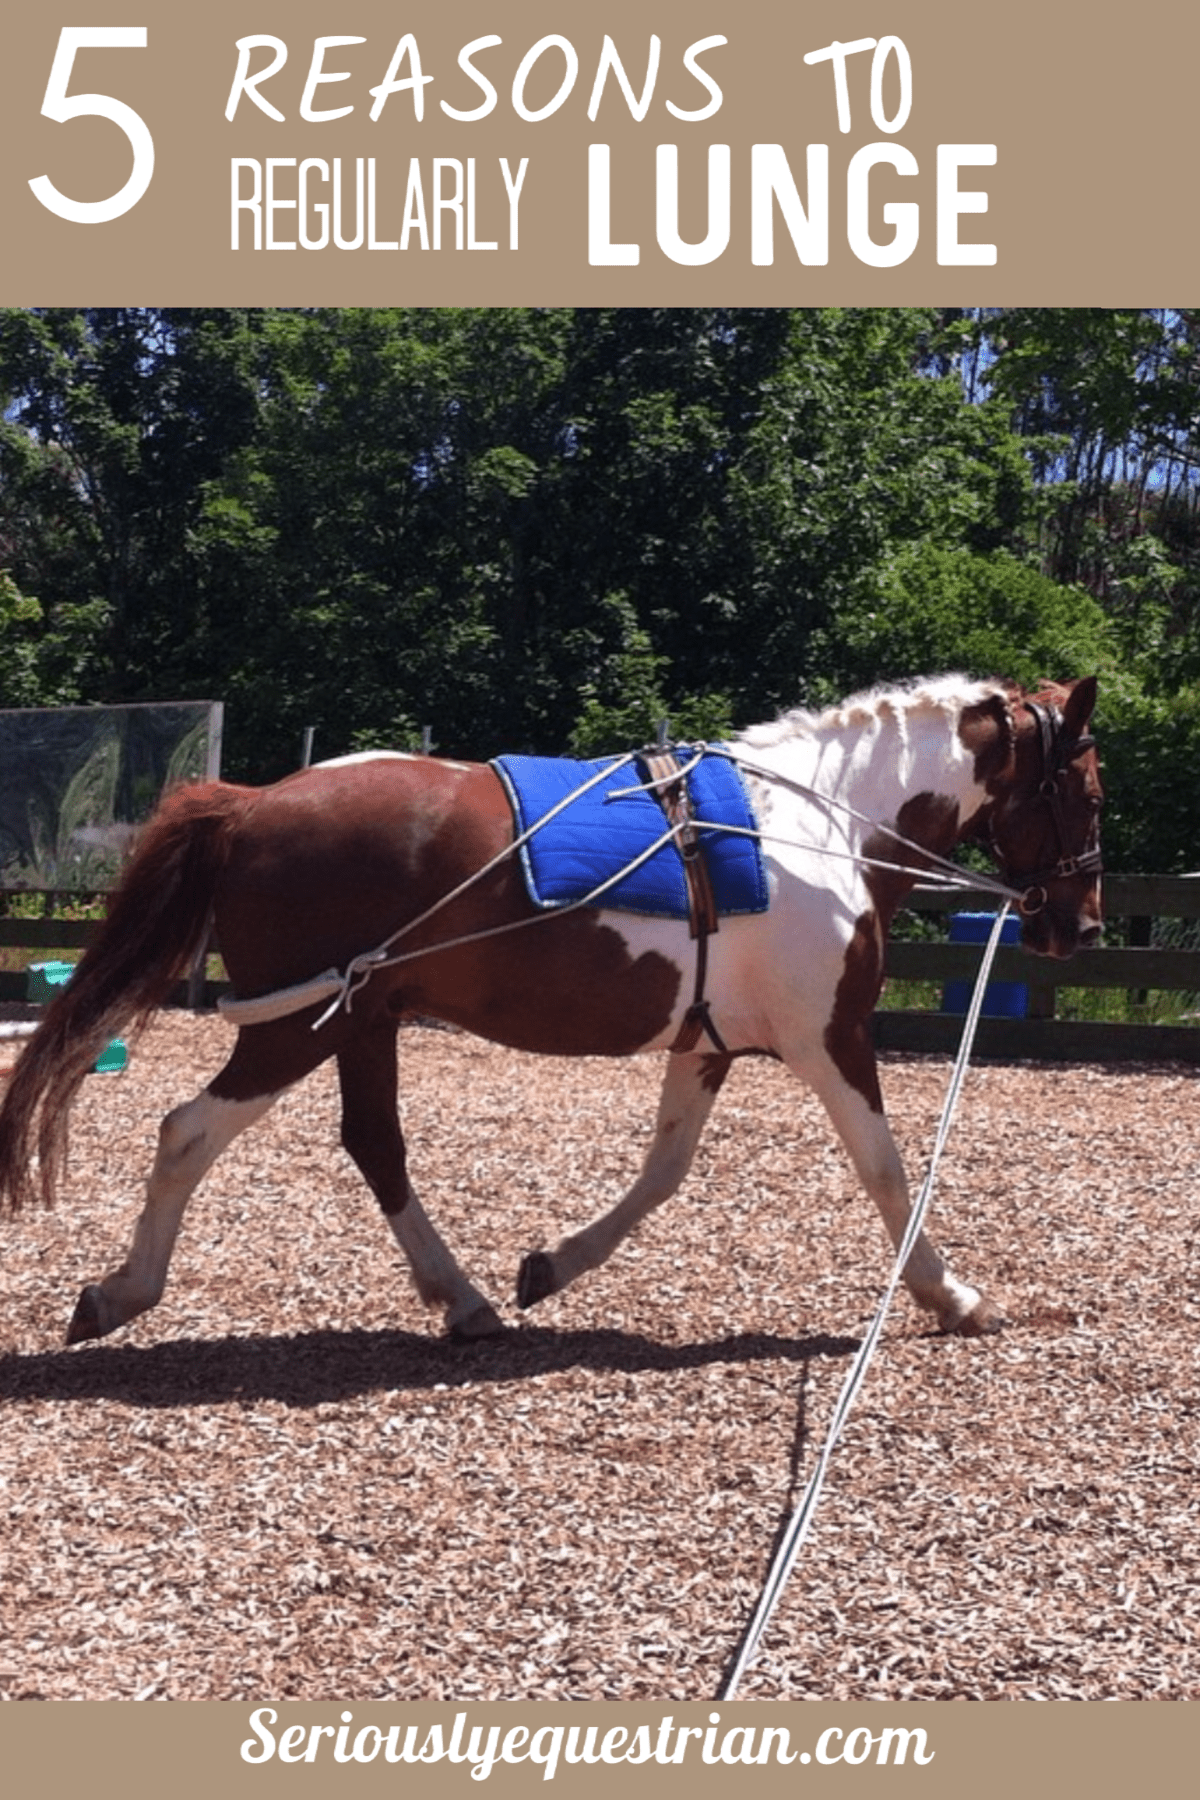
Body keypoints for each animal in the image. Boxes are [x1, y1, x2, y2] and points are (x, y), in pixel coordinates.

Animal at [0, 674, 1102, 1347]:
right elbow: (887, 1169)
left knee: (375, 1147)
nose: (1081, 925)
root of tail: (252, 802)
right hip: (292, 1028)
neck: (821, 823)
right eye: (1087, 791)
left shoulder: (712, 1043)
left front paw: (552, 1267)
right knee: (188, 1131)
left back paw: (465, 1300)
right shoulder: (826, 1037)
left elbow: (663, 1172)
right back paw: (121, 1293)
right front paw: (951, 1294)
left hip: (358, 1022)